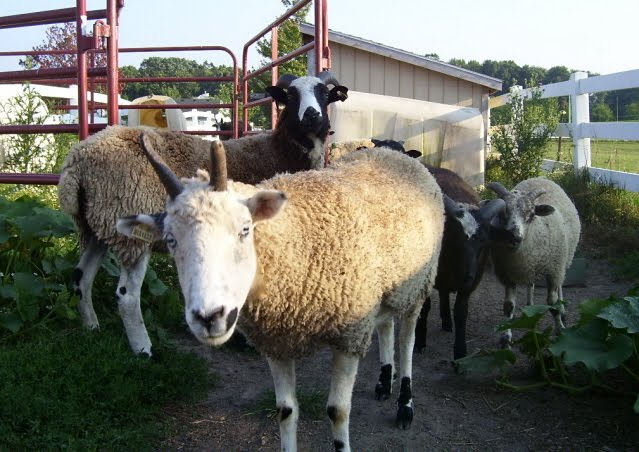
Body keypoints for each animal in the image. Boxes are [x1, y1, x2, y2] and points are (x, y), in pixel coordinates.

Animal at [58, 71, 350, 356]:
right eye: (290, 97)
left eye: (324, 94)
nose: (311, 115)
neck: (278, 151)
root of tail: (77, 163)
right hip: (130, 230)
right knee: (126, 295)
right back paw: (143, 349)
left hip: (97, 226)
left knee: (81, 278)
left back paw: (91, 327)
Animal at [115, 136, 444, 452]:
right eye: (170, 240)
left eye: (245, 229)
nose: (209, 317)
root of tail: (394, 154)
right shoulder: (276, 342)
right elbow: (285, 412)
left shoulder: (349, 336)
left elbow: (337, 412)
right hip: (388, 287)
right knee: (386, 324)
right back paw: (384, 382)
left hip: (420, 285)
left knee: (407, 341)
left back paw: (404, 403)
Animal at [488, 177, 584, 346]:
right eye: (502, 213)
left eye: (532, 215)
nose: (514, 237)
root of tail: (540, 177)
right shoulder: (508, 274)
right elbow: (509, 307)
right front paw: (506, 338)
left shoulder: (553, 271)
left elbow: (552, 305)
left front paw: (560, 330)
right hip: (533, 268)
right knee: (530, 284)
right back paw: (530, 308)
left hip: (562, 262)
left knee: (560, 287)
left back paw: (563, 312)